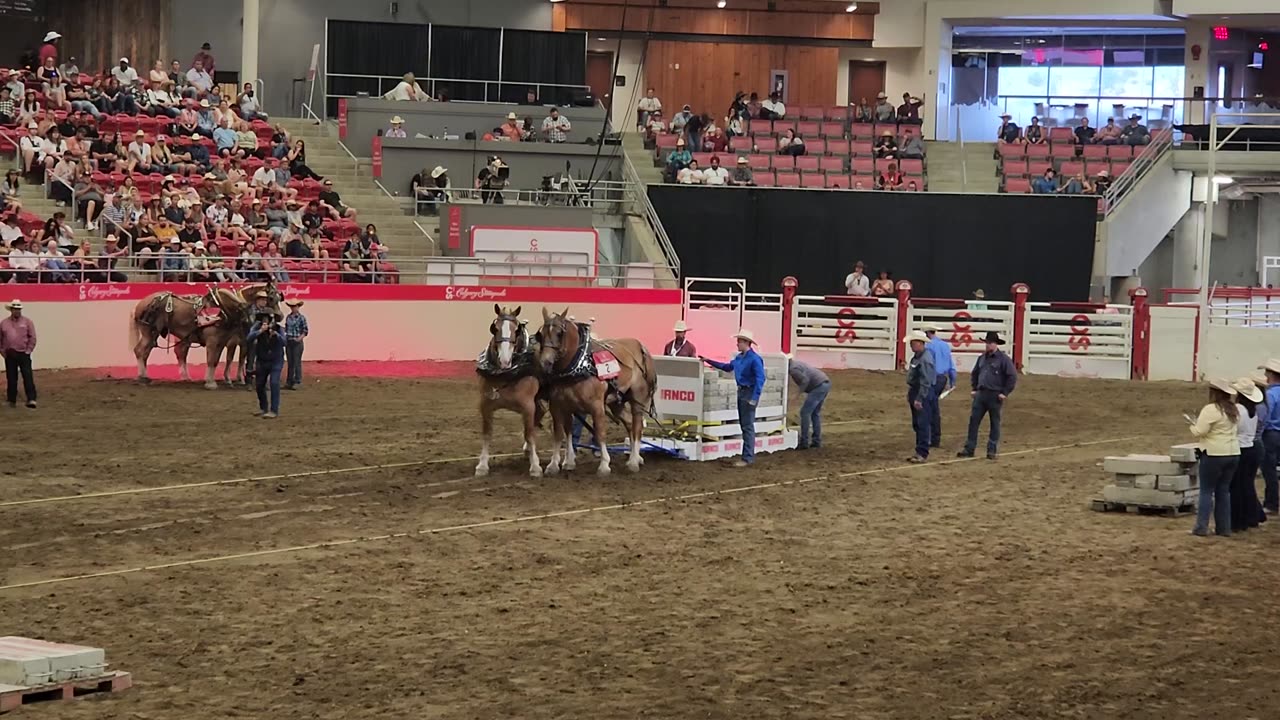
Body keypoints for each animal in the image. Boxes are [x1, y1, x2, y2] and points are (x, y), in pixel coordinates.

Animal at [129, 279, 280, 386]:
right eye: (271, 298)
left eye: (279, 298)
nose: (279, 316)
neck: (222, 312)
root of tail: (141, 304)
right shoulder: (219, 341)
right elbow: (217, 359)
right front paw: (215, 382)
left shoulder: (227, 342)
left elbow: (220, 360)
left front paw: (232, 379)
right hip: (148, 332)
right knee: (140, 351)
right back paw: (142, 377)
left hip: (155, 334)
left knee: (152, 353)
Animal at [476, 303, 545, 476]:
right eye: (494, 328)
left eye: (516, 330)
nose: (505, 361)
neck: (506, 373)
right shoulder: (485, 405)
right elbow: (487, 434)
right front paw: (482, 465)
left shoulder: (528, 406)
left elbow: (530, 434)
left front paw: (535, 466)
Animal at [537, 304, 660, 474]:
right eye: (540, 334)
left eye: (559, 333)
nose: (545, 362)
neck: (579, 364)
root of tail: (642, 348)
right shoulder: (559, 405)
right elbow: (561, 433)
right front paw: (557, 464)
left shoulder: (596, 406)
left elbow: (600, 433)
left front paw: (604, 464)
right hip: (616, 401)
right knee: (629, 423)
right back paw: (634, 458)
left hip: (638, 399)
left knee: (637, 425)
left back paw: (634, 461)